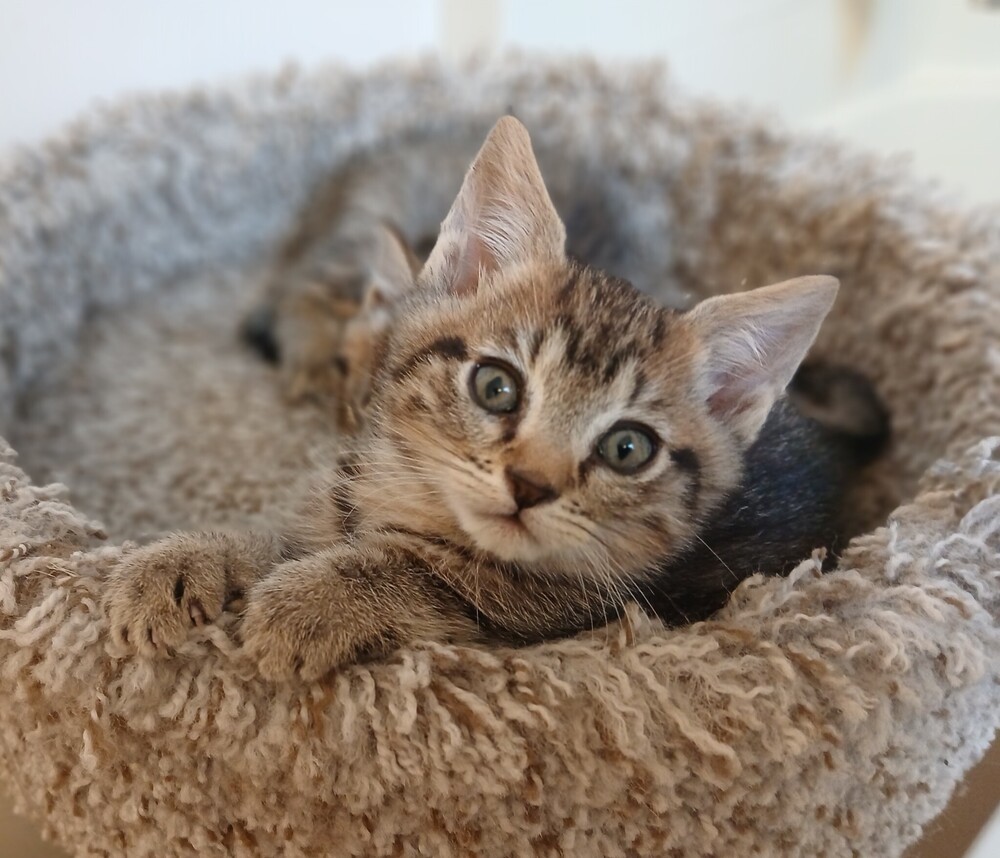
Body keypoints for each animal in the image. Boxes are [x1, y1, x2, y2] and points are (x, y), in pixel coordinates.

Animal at [101, 115, 888, 676]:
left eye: (627, 449)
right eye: (496, 386)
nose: (531, 485)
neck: (409, 495)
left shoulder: (547, 618)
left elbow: (422, 578)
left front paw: (307, 602)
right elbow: (272, 533)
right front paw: (184, 561)